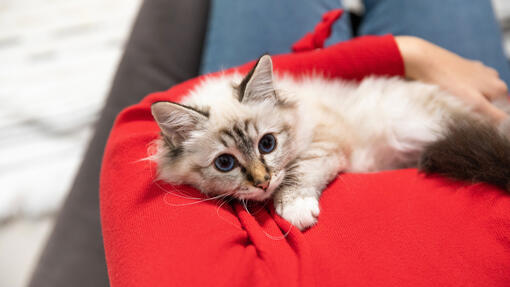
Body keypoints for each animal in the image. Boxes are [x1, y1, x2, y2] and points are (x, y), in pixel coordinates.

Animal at [150, 55, 510, 231]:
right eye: (225, 163)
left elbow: (299, 173)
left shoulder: (326, 141)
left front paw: (294, 208)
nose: (263, 181)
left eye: (267, 144)